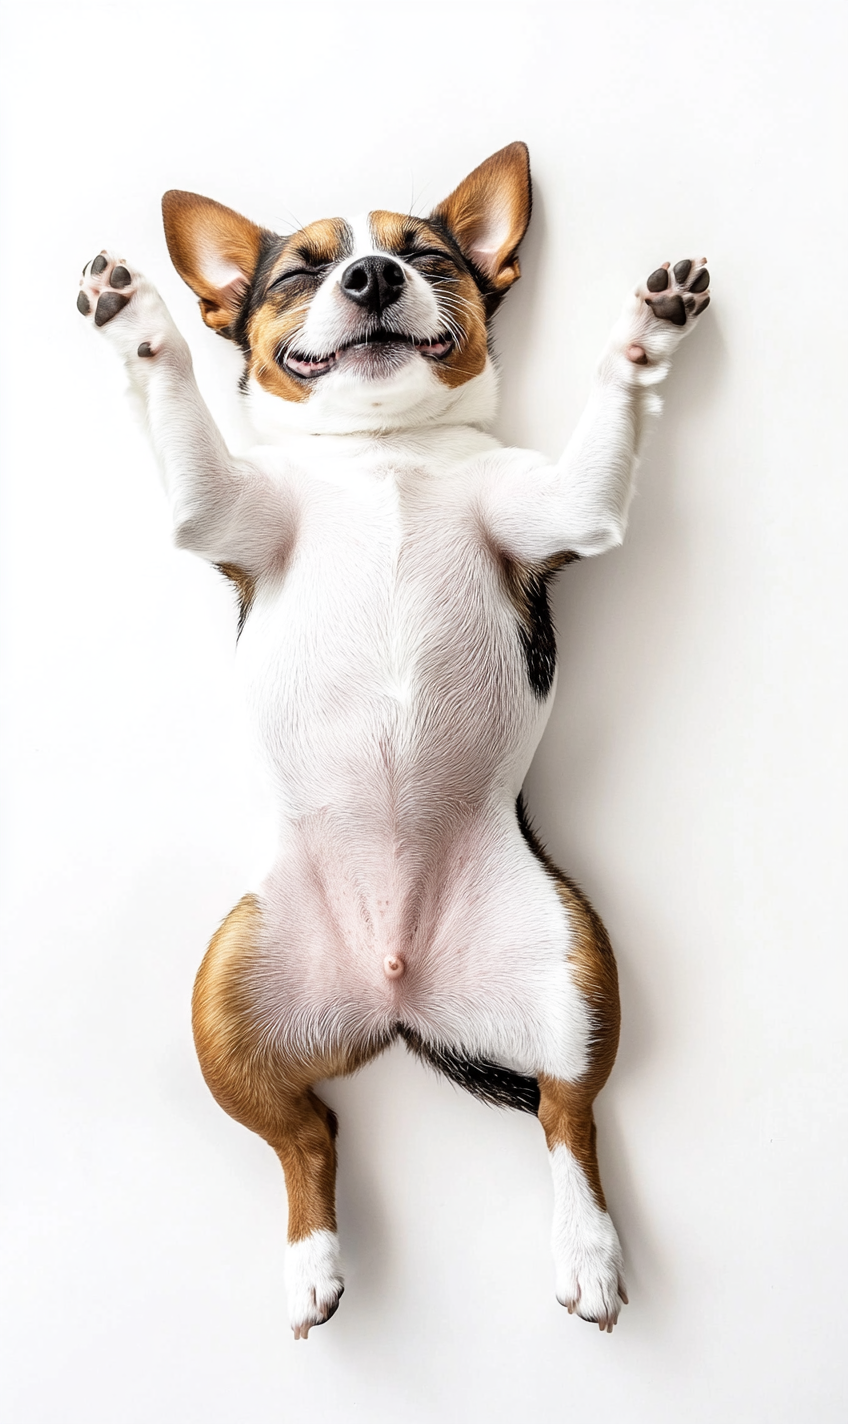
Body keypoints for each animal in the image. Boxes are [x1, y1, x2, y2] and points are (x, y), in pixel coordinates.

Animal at [76, 141, 708, 1332]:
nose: (372, 275)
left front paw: (649, 327)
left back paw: (587, 1251)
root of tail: (396, 988)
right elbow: (175, 397)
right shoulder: (217, 509)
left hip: (575, 968)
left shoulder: (567, 507)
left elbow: (614, 406)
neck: (385, 452)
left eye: (425, 254)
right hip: (224, 1007)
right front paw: (131, 312)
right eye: (299, 272)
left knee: (565, 1114)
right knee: (308, 1135)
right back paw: (312, 1263)